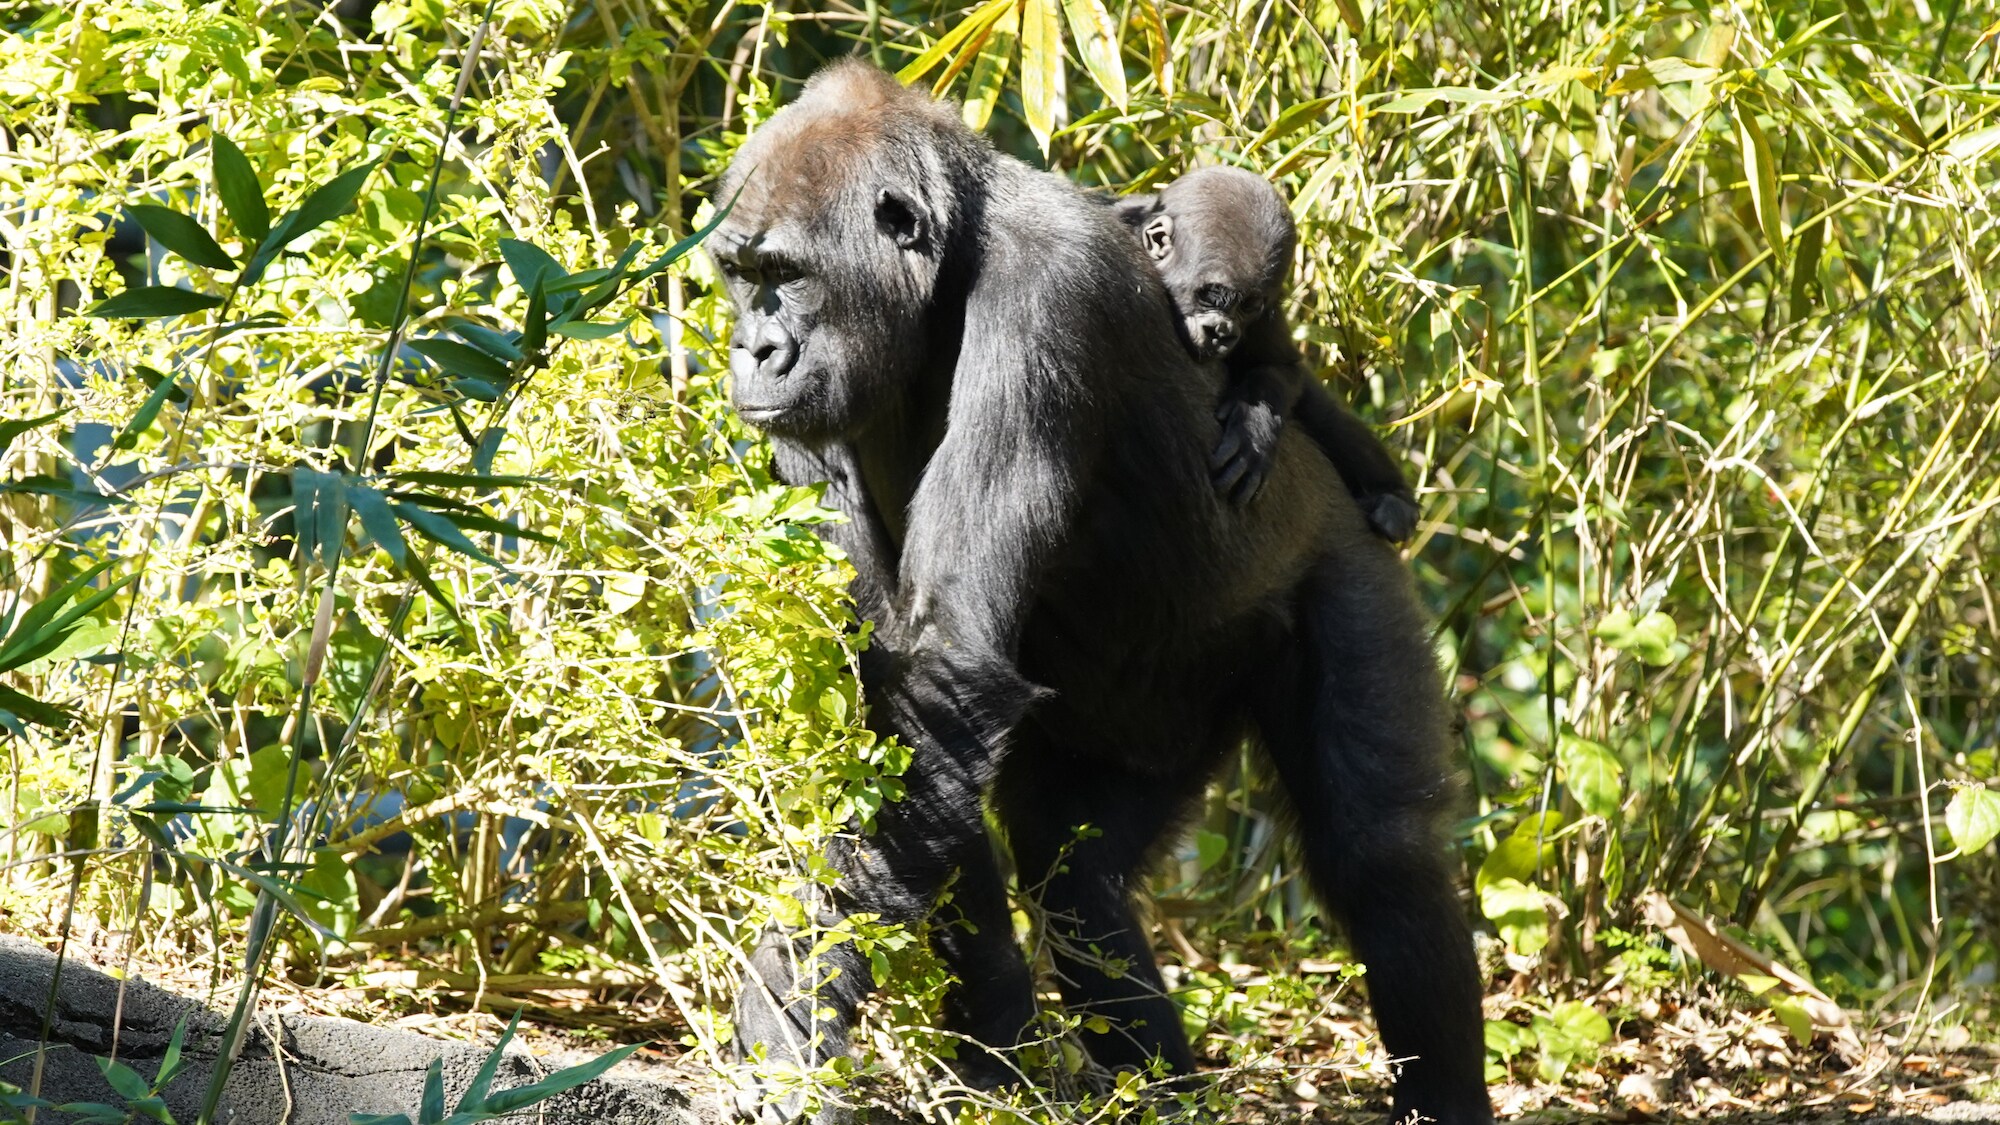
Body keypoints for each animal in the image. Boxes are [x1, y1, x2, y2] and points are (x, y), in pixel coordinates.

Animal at [1120, 164, 1432, 540]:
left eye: (1249, 306)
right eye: (1212, 294)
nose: (1222, 333)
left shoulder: (1266, 316)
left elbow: (1280, 366)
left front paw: (1254, 427)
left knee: (1323, 414)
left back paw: (1395, 501)